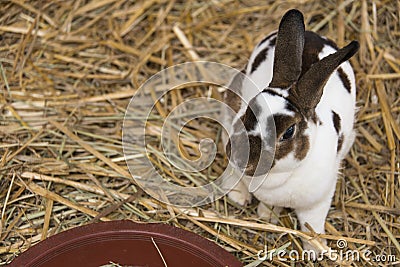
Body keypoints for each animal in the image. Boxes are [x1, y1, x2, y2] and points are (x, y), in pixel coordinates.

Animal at [222, 8, 360, 253]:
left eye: (288, 132)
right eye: (249, 110)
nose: (239, 157)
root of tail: (314, 34)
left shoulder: (317, 202)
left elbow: (310, 227)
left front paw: (316, 251)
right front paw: (263, 212)